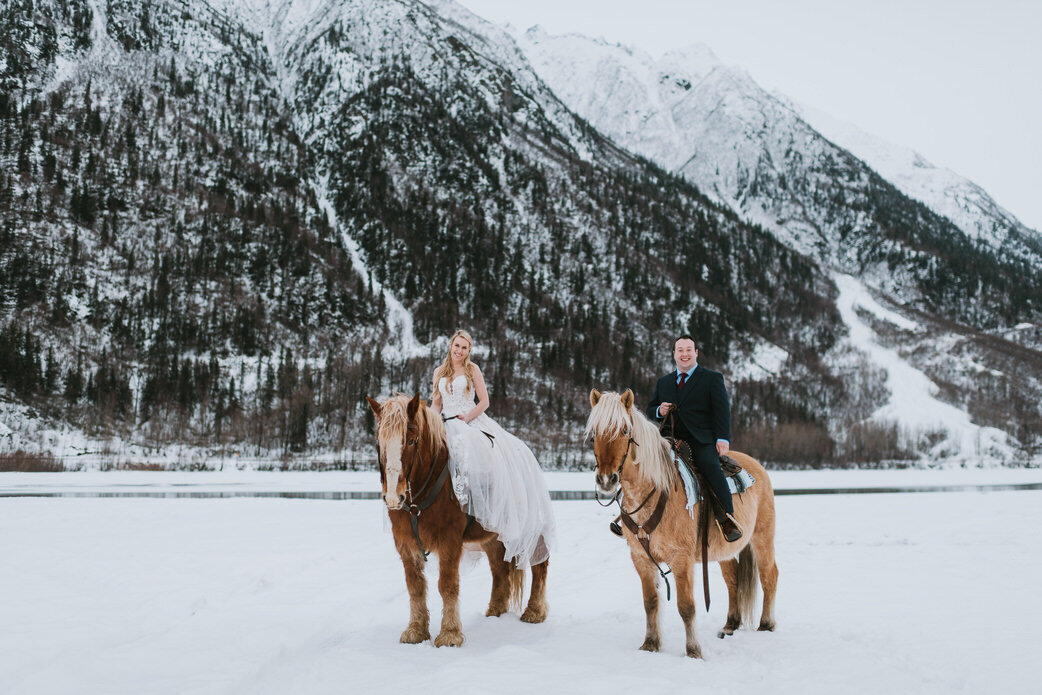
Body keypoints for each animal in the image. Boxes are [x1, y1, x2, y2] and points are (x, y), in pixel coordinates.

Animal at [366, 391, 550, 646]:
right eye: (379, 442)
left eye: (411, 441)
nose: (394, 497)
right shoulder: (405, 544)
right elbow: (415, 586)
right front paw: (416, 630)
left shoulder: (449, 541)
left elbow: (447, 585)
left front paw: (450, 635)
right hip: (492, 537)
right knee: (500, 571)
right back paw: (495, 611)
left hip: (528, 530)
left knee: (539, 564)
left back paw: (534, 612)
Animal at [587, 389, 775, 662]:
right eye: (594, 432)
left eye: (624, 430)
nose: (606, 480)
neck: (654, 492)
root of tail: (757, 465)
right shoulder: (641, 559)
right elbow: (650, 602)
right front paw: (650, 644)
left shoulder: (681, 559)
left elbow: (686, 607)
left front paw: (694, 651)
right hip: (726, 551)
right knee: (733, 580)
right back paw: (730, 624)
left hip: (762, 537)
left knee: (769, 575)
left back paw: (767, 624)